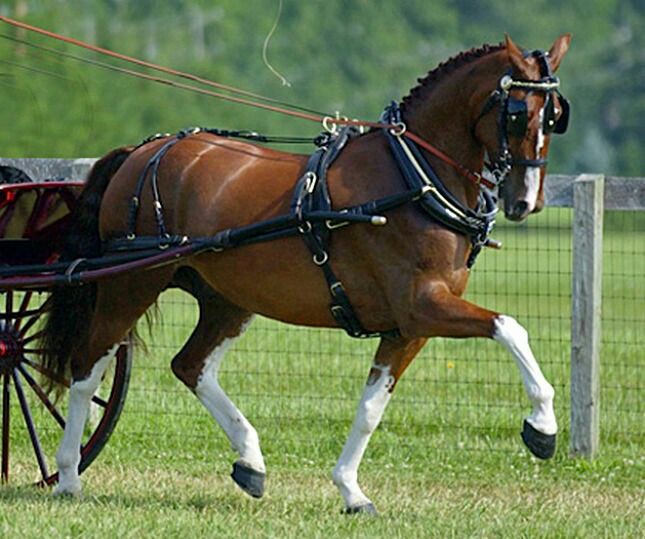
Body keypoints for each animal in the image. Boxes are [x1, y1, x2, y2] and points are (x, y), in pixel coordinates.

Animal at [41, 33, 568, 516]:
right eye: (517, 112)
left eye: (555, 115)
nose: (526, 201)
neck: (413, 178)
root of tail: (141, 151)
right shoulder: (423, 306)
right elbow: (509, 326)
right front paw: (542, 426)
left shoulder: (407, 328)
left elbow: (371, 408)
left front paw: (351, 490)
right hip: (130, 284)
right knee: (87, 369)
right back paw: (67, 474)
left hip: (226, 299)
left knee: (191, 366)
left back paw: (250, 461)